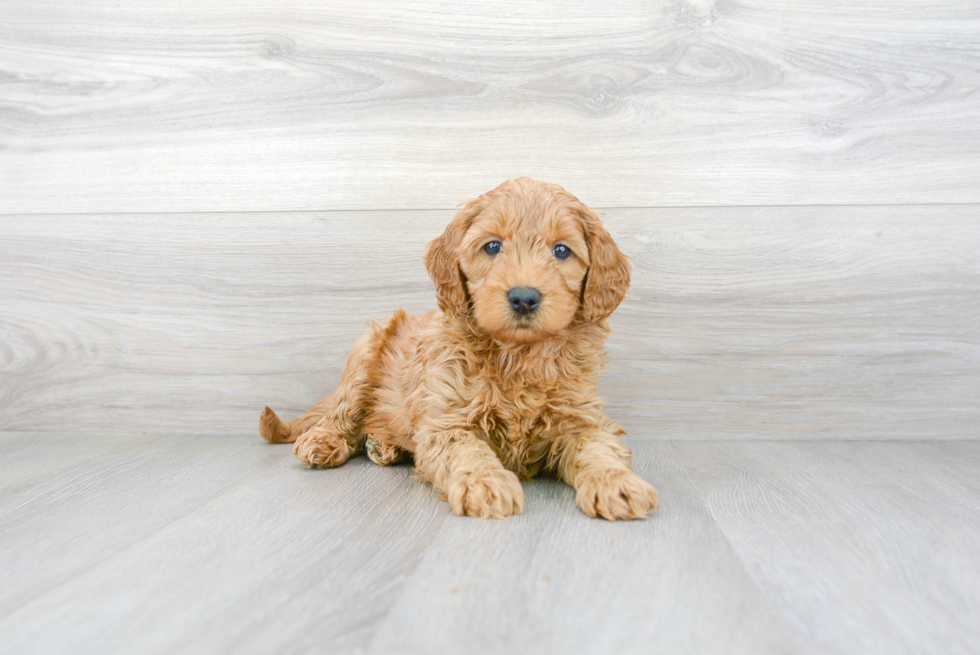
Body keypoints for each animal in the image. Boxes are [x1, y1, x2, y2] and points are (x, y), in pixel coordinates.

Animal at [260, 177, 660, 520]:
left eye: (562, 251)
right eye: (493, 246)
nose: (524, 297)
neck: (518, 355)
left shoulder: (581, 416)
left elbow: (599, 448)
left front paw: (618, 484)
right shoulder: (448, 421)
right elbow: (468, 451)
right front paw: (486, 483)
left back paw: (383, 446)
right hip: (365, 351)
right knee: (341, 413)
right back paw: (325, 440)